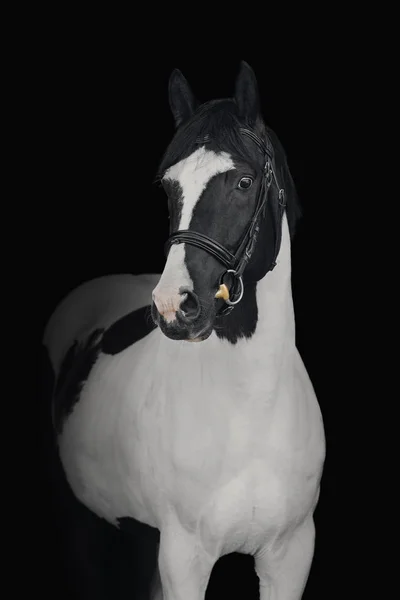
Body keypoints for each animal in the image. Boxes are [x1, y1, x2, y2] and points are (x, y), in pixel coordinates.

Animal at [43, 62, 324, 600]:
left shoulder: (290, 557)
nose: (174, 305)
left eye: (243, 181)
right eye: (167, 187)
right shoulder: (184, 558)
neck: (252, 408)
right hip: (85, 524)